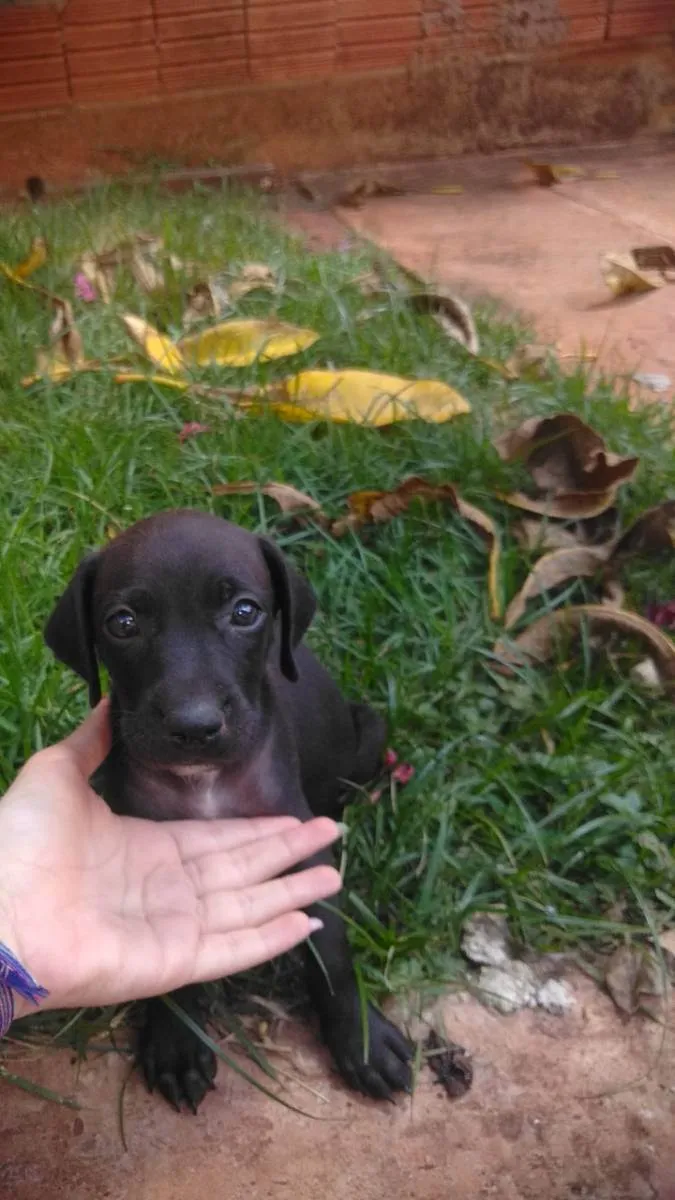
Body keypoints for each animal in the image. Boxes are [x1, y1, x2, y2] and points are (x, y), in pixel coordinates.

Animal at [45, 511, 410, 1108]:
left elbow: (329, 949)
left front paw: (361, 1038)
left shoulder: (302, 848)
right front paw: (176, 1043)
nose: (194, 726)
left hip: (369, 737)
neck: (205, 781)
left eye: (244, 612)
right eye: (122, 623)